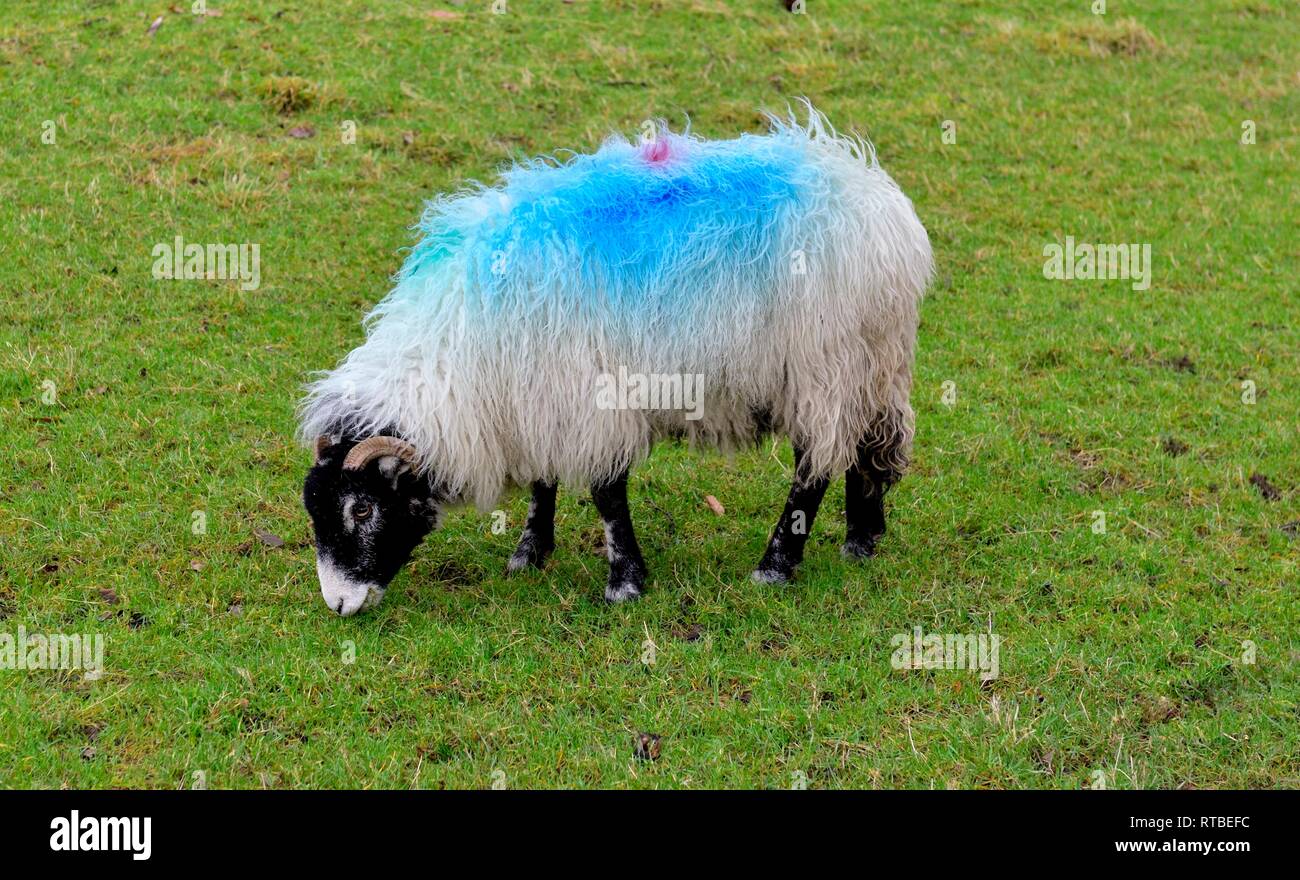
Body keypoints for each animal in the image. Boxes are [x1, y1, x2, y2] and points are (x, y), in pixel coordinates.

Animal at [300, 105, 932, 616]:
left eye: (362, 510)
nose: (339, 605)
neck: (459, 350)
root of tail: (879, 201)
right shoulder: (540, 393)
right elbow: (543, 480)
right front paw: (529, 554)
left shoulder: (587, 396)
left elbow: (606, 493)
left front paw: (624, 582)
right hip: (872, 363)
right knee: (869, 445)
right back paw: (862, 541)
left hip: (824, 364)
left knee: (813, 466)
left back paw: (775, 566)